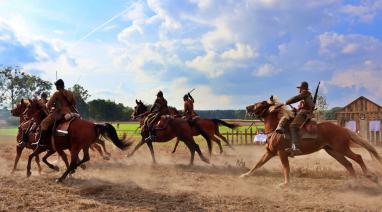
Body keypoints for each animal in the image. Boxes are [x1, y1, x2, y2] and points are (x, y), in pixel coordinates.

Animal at [240, 96, 382, 186]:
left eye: (261, 103)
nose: (247, 107)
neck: (276, 128)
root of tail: (343, 129)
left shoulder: (281, 153)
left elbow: (286, 168)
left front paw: (285, 183)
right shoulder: (269, 152)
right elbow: (258, 164)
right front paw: (245, 175)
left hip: (342, 149)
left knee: (357, 157)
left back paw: (371, 176)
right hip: (333, 151)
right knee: (349, 164)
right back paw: (354, 183)